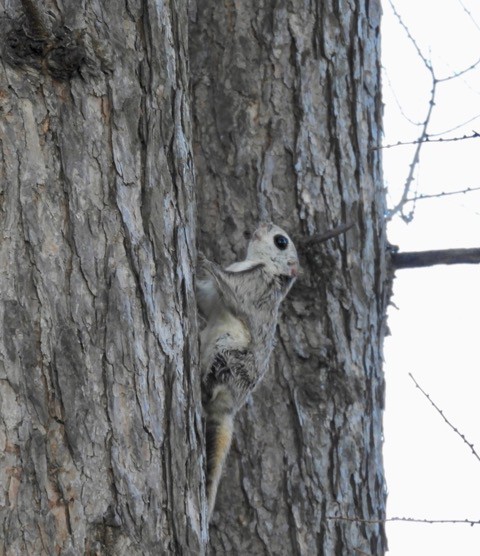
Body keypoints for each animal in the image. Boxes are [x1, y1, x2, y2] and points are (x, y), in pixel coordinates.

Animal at [195, 223, 296, 520]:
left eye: (281, 241)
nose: (262, 224)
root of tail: (229, 410)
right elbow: (205, 300)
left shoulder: (254, 287)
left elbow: (232, 290)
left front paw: (203, 259)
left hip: (228, 357)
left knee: (214, 385)